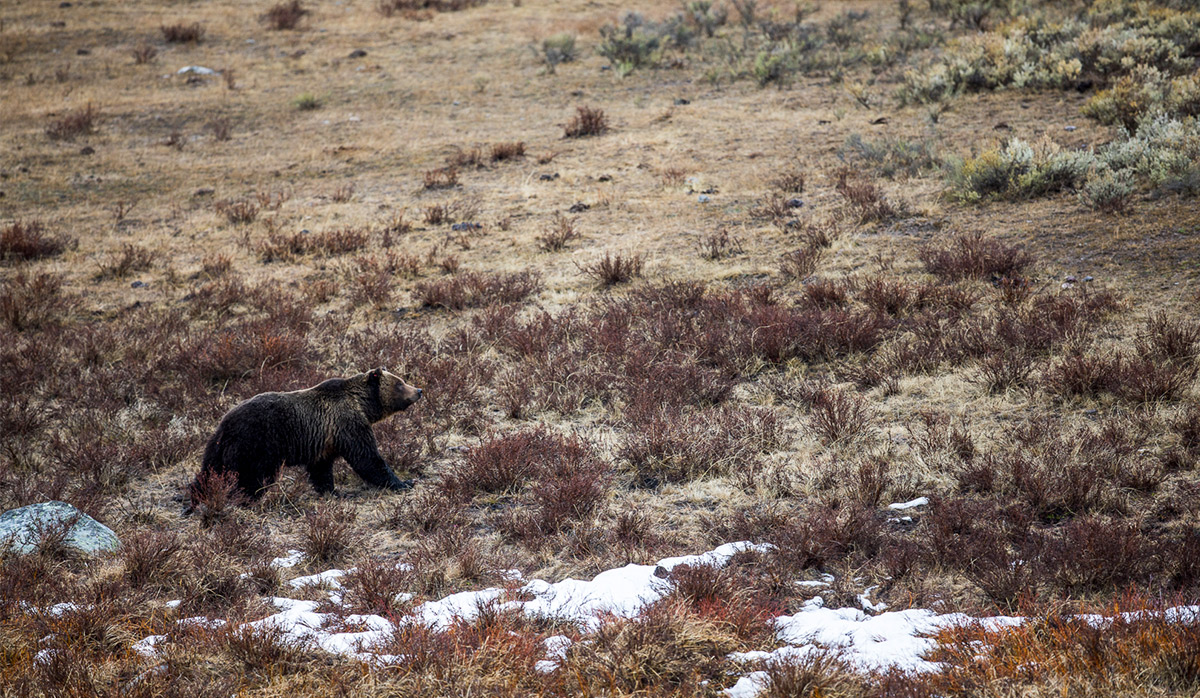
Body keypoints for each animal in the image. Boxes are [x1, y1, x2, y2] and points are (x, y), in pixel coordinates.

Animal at [192, 366, 422, 503]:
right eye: (400, 383)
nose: (418, 390)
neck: (362, 404)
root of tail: (224, 425)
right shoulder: (348, 423)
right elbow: (367, 458)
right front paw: (404, 482)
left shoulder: (325, 440)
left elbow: (321, 469)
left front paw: (333, 491)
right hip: (255, 443)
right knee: (250, 476)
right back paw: (249, 498)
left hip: (218, 448)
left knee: (209, 471)